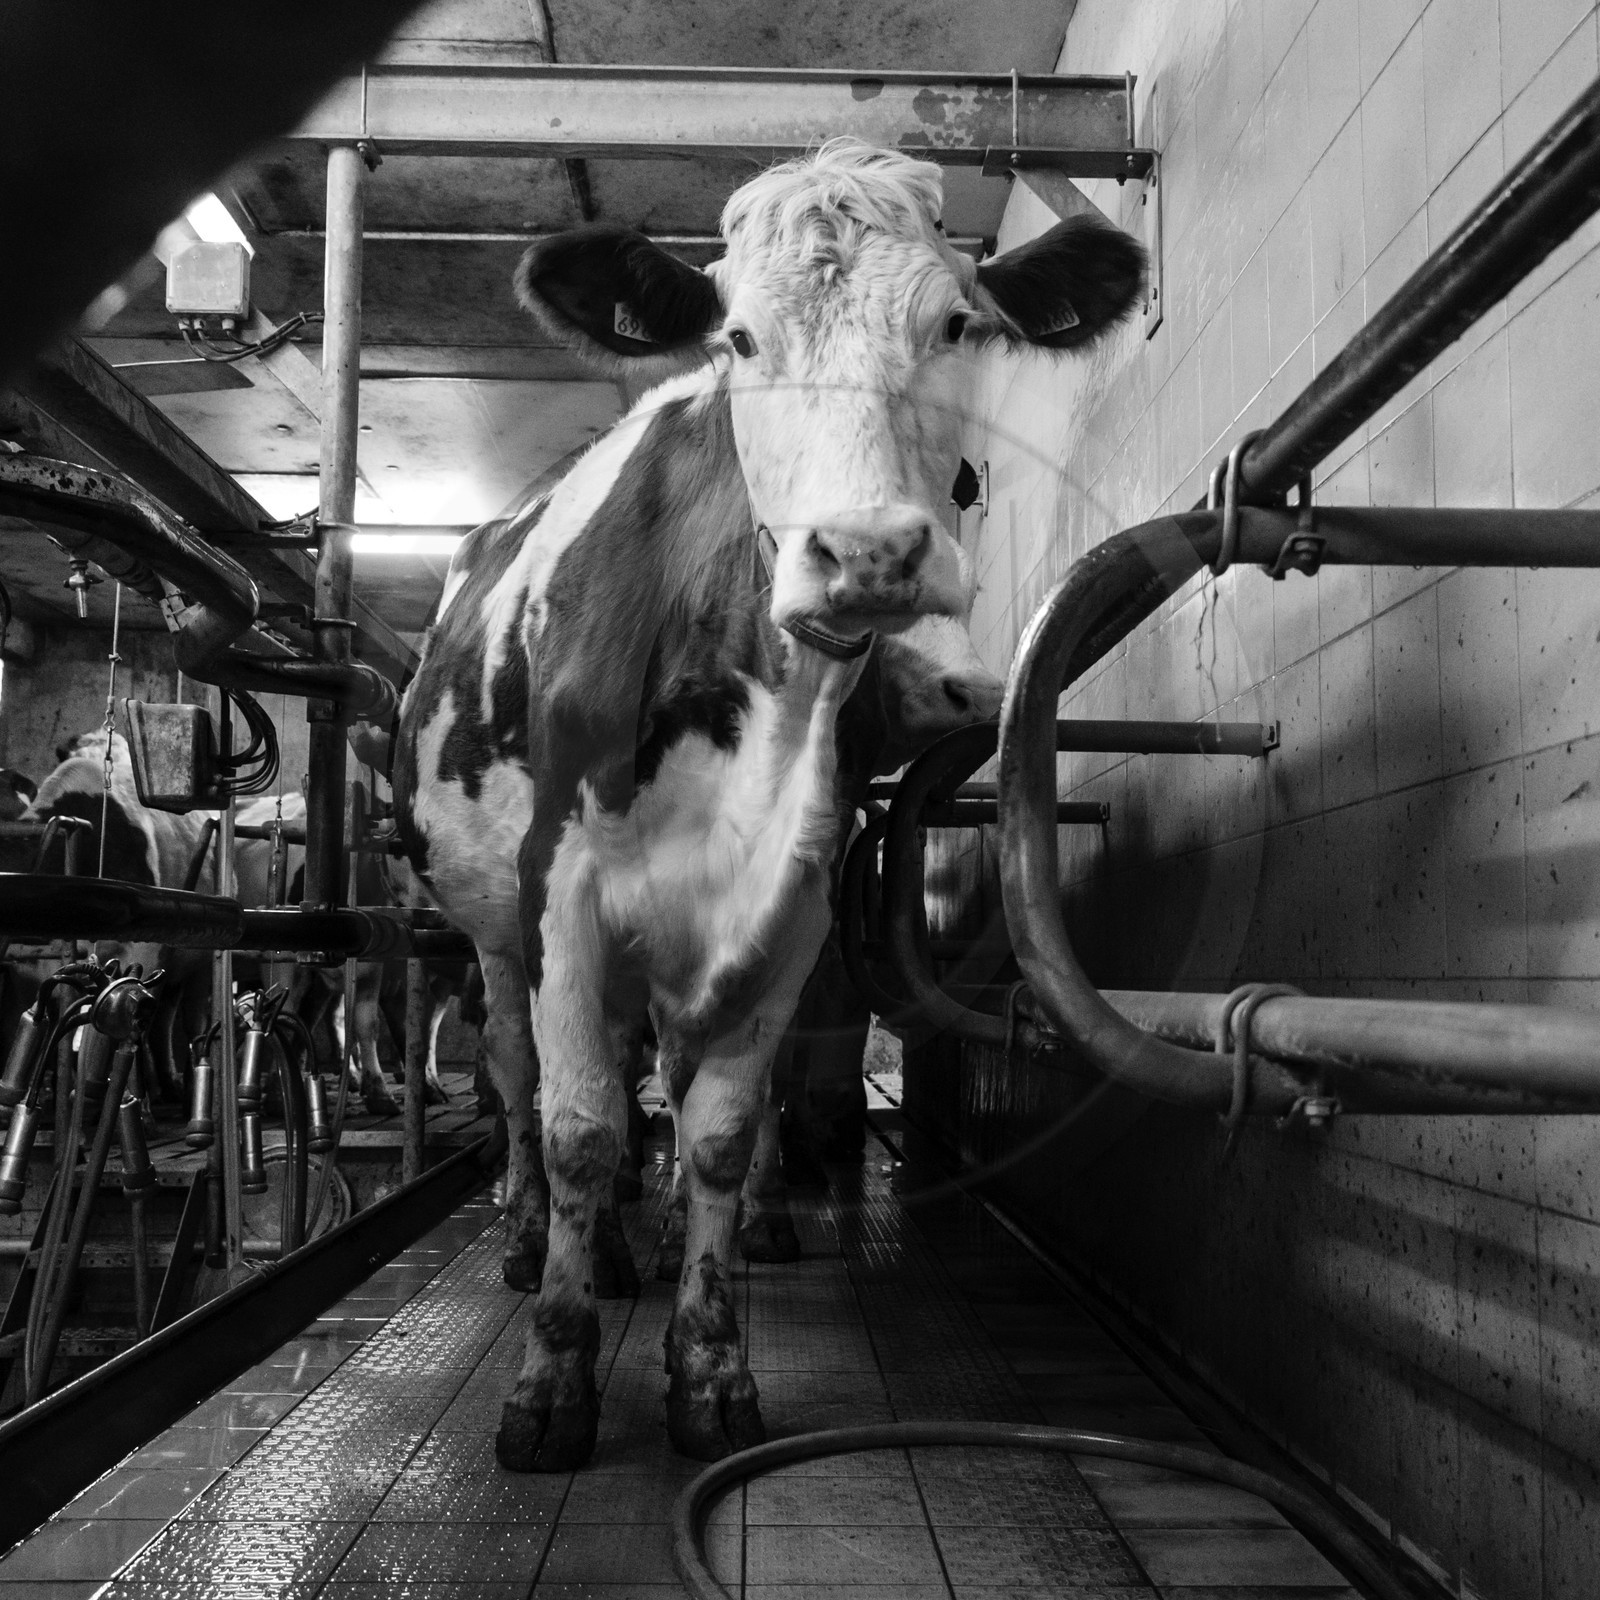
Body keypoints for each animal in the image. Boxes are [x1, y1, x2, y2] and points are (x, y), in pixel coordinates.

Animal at [394, 138, 1144, 1471]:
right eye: (739, 338)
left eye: (957, 323)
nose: (870, 550)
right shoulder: (563, 894)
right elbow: (583, 1127)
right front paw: (551, 1379)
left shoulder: (793, 907)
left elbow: (719, 1133)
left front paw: (708, 1366)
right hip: (488, 928)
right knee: (520, 1078)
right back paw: (537, 1242)